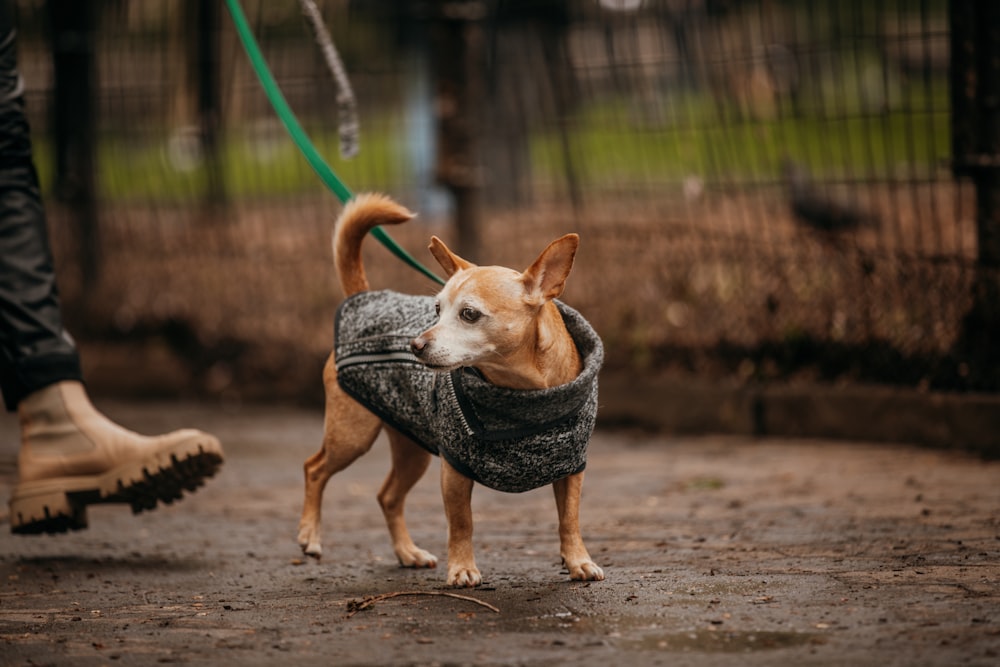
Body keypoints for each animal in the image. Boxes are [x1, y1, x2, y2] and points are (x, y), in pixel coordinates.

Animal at [294, 194, 600, 588]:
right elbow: (461, 523)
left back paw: (407, 553)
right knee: (315, 468)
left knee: (388, 496)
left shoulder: (570, 469)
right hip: (352, 435)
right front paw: (463, 568)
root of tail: (362, 296)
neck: (522, 395)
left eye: (469, 314)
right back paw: (310, 536)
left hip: (410, 448)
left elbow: (569, 519)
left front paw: (578, 561)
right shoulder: (454, 470)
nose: (414, 345)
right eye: (437, 309)